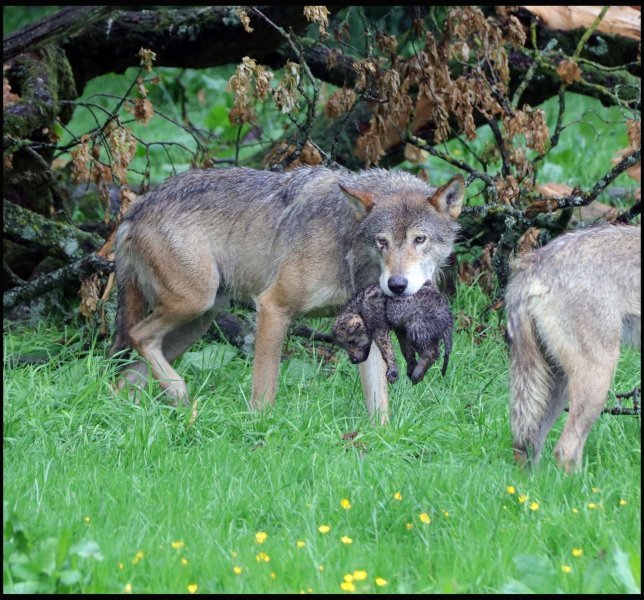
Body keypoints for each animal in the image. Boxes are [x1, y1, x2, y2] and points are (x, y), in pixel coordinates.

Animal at [109, 166, 462, 424]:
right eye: (382, 241)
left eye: (420, 239)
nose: (397, 285)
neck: (350, 245)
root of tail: (135, 209)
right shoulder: (272, 307)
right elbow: (265, 390)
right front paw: (258, 431)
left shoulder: (368, 329)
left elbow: (379, 404)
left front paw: (379, 441)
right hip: (195, 303)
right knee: (139, 336)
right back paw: (181, 395)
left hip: (196, 323)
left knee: (127, 373)